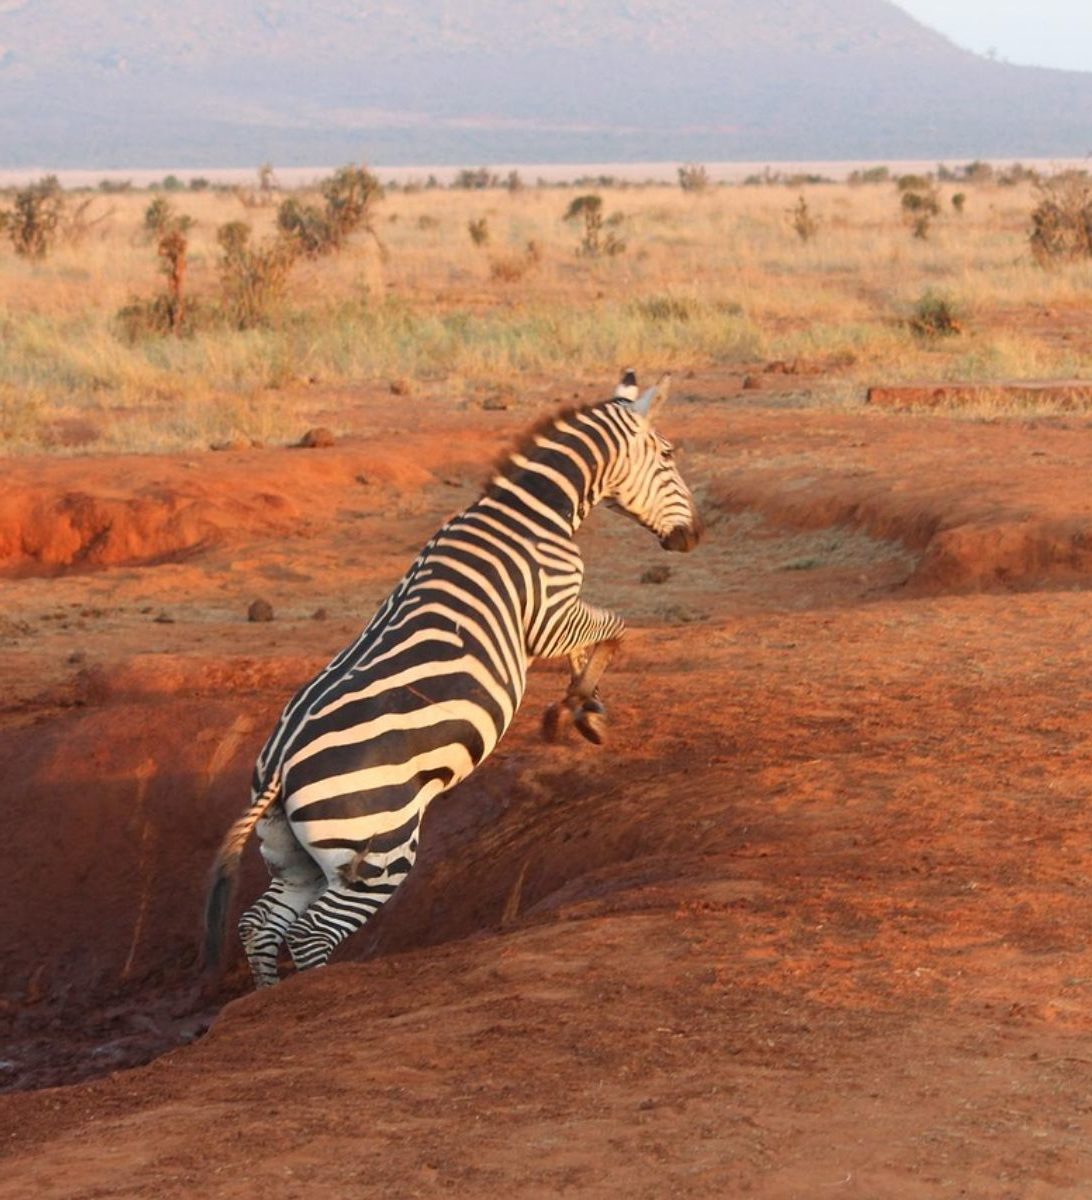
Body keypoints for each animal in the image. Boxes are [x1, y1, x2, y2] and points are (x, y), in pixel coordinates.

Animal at [204, 370, 702, 987]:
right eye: (668, 454)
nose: (693, 537)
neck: (533, 511)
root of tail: (279, 766)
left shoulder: (548, 622)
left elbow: (587, 647)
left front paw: (584, 709)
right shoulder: (550, 612)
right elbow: (615, 631)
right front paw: (579, 708)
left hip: (293, 857)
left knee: (260, 926)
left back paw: (264, 999)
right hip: (377, 850)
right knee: (311, 934)